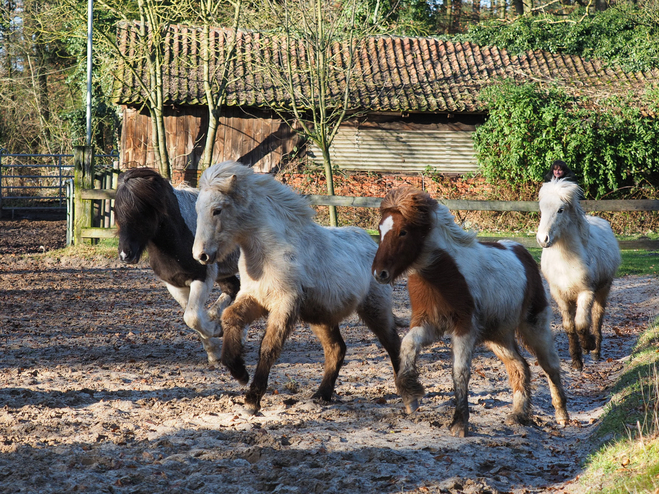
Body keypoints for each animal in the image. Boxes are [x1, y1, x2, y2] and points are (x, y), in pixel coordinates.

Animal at [191, 160, 402, 414]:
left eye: (217, 210)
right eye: (197, 210)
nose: (200, 255)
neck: (269, 252)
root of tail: (372, 246)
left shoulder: (284, 304)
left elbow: (269, 347)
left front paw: (252, 399)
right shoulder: (255, 298)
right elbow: (230, 317)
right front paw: (239, 371)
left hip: (375, 310)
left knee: (393, 343)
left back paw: (405, 389)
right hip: (321, 318)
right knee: (337, 350)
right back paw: (321, 395)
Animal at [540, 178, 620, 370]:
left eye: (560, 210)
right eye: (542, 209)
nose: (542, 239)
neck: (565, 262)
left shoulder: (586, 292)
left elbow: (582, 325)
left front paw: (589, 344)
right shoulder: (559, 295)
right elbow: (570, 326)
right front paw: (576, 360)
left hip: (603, 290)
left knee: (596, 318)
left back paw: (595, 351)